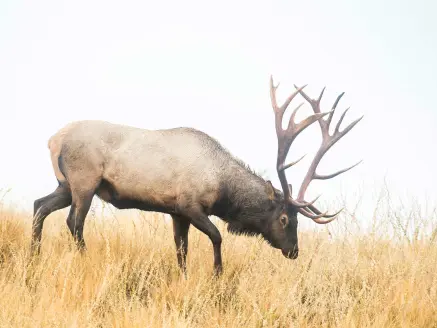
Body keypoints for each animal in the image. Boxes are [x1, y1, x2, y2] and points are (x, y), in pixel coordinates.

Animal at [31, 76, 362, 274]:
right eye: (284, 219)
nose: (294, 251)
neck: (223, 191)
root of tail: (54, 140)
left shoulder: (176, 212)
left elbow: (181, 250)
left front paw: (184, 276)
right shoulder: (189, 204)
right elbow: (216, 236)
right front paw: (217, 274)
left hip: (65, 184)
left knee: (39, 206)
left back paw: (34, 255)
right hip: (84, 181)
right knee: (74, 222)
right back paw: (84, 260)